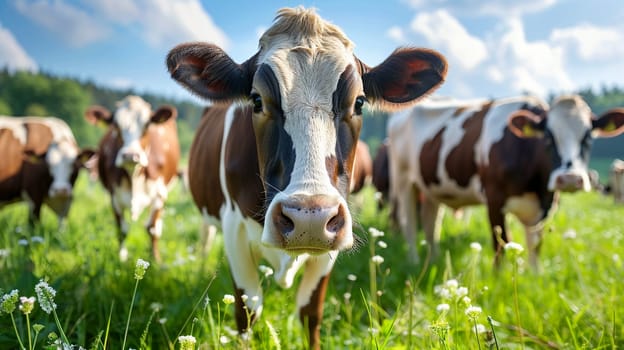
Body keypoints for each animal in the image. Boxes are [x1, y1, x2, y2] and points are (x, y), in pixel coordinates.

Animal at [84, 95, 180, 262]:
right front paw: (121, 258)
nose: (130, 155)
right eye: (116, 125)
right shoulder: (114, 197)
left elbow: (153, 228)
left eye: (147, 124)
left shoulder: (160, 194)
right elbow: (121, 230)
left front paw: (156, 260)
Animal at [166, 7, 448, 348]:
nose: (308, 219)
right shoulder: (234, 229)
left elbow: (310, 311)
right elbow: (247, 311)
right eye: (256, 100)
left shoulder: (334, 235)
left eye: (359, 102)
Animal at [388, 94, 624, 266]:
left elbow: (535, 248)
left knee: (430, 224)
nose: (569, 179)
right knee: (409, 224)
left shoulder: (543, 207)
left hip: (431, 188)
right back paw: (414, 261)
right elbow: (501, 246)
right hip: (403, 179)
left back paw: (433, 259)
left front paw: (535, 278)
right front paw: (500, 278)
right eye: (548, 136)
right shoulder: (494, 200)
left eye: (588, 136)